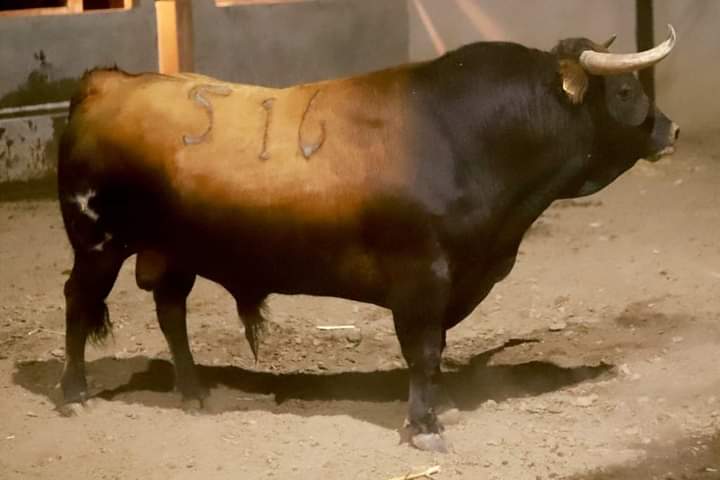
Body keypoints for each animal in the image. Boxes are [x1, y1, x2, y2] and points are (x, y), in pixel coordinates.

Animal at [57, 26, 678, 452]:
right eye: (626, 89)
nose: (671, 130)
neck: (466, 134)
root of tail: (106, 82)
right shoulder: (421, 278)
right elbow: (423, 352)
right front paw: (424, 427)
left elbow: (434, 352)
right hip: (97, 244)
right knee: (78, 302)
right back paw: (73, 393)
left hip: (173, 251)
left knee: (170, 310)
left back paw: (193, 392)